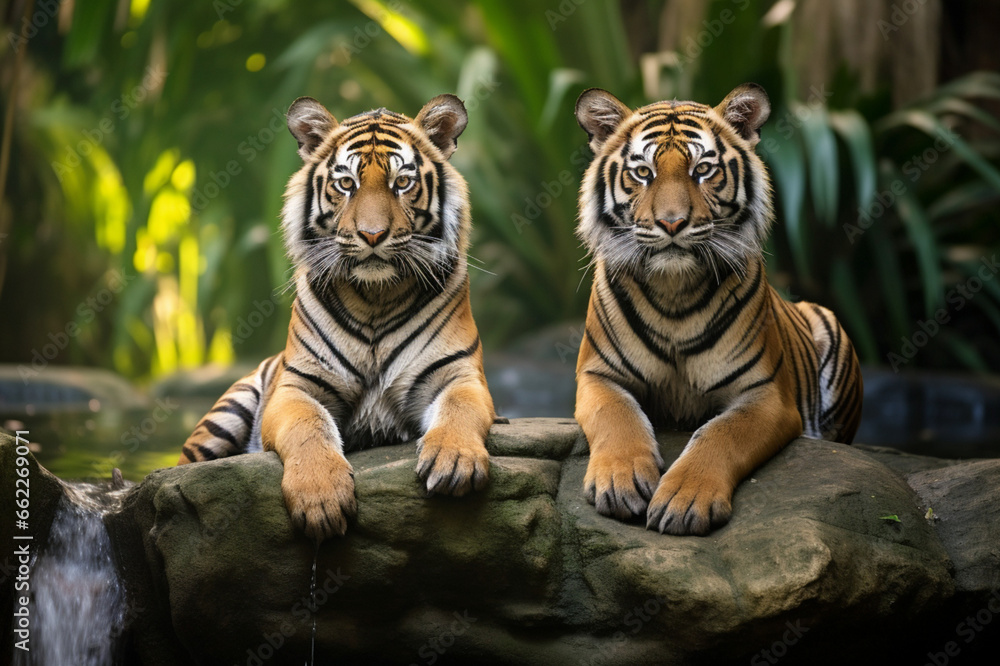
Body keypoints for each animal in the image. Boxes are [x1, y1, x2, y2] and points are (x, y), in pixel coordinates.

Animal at [178, 94, 495, 542]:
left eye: (402, 182)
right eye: (346, 184)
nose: (373, 235)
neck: (377, 295)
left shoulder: (458, 374)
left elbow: (459, 409)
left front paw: (455, 462)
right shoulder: (296, 387)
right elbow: (309, 427)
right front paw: (320, 500)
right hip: (227, 413)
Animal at [572, 83, 863, 536]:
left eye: (703, 170)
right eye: (643, 172)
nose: (671, 223)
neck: (673, 289)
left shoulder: (766, 394)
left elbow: (721, 433)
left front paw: (685, 498)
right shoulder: (597, 374)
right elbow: (616, 415)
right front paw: (620, 480)